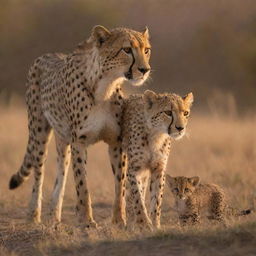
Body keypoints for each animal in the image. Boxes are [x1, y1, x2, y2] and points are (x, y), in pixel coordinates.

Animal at [9, 25, 151, 228]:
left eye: (146, 50)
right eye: (127, 49)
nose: (145, 69)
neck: (105, 85)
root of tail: (45, 55)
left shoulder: (116, 143)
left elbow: (120, 185)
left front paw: (119, 220)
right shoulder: (79, 142)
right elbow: (82, 183)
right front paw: (86, 220)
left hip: (62, 139)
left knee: (61, 174)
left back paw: (54, 216)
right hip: (39, 134)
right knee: (38, 174)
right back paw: (33, 215)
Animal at [122, 90, 194, 230]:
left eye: (185, 113)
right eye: (168, 112)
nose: (180, 128)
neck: (156, 135)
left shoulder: (158, 169)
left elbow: (156, 200)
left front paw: (155, 225)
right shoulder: (134, 169)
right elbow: (137, 197)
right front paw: (144, 223)